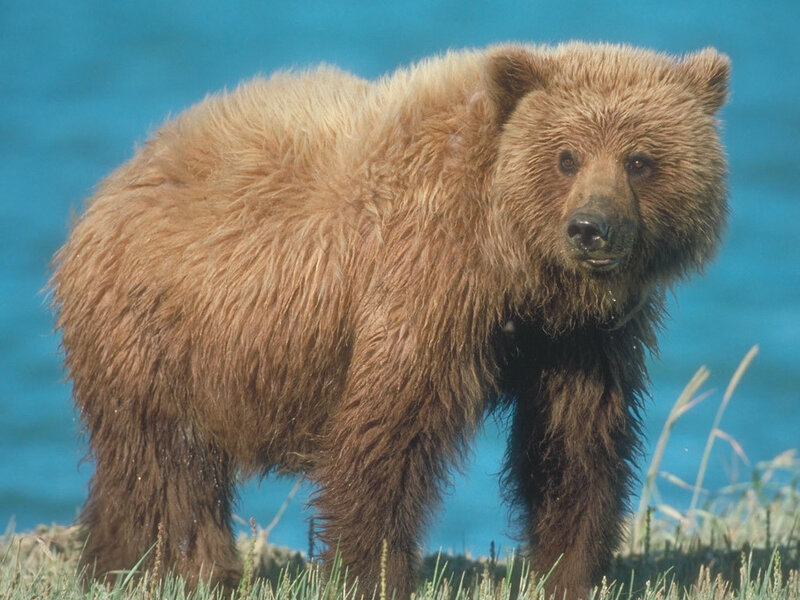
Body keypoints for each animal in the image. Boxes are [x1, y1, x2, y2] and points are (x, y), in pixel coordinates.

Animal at [50, 42, 729, 599]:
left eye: (640, 159)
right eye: (566, 156)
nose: (591, 229)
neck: (515, 262)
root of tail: (112, 185)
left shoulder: (580, 338)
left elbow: (574, 441)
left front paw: (569, 570)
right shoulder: (424, 278)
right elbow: (387, 431)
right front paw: (371, 571)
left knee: (136, 471)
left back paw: (112, 565)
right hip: (160, 330)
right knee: (168, 466)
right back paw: (188, 570)